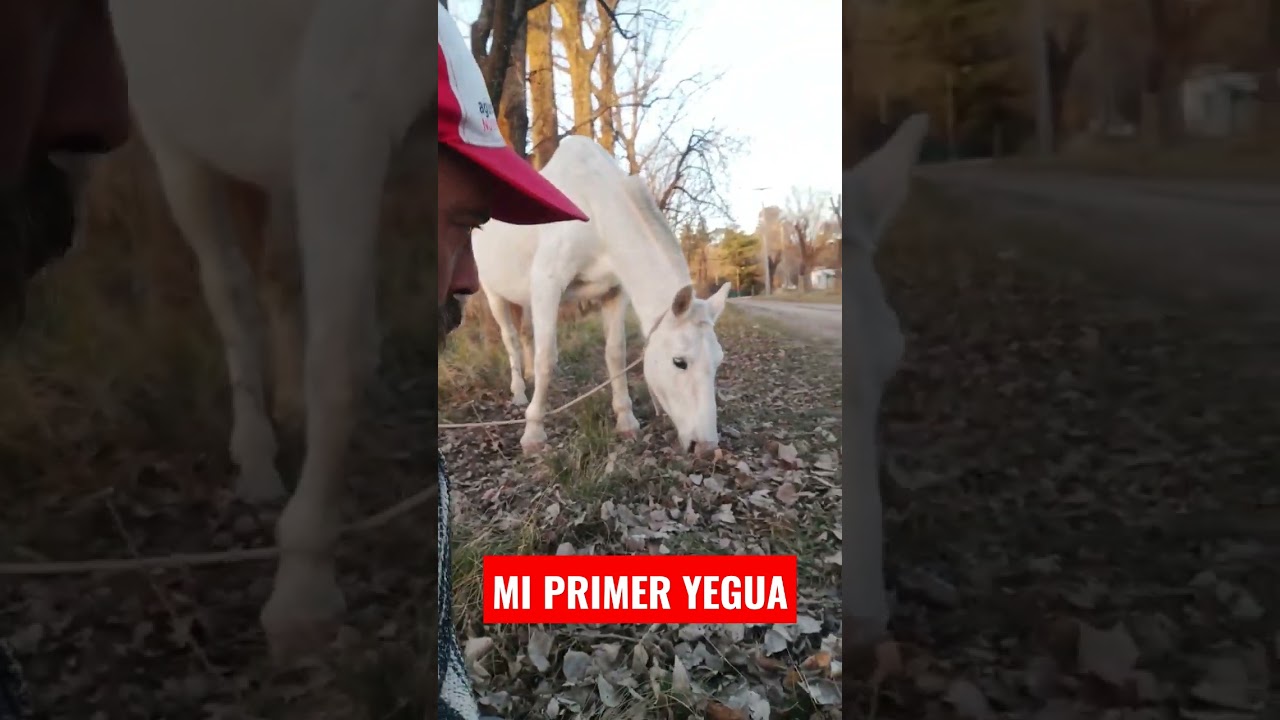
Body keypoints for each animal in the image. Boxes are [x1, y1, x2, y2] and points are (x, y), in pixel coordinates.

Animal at [105, 0, 434, 658]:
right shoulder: (345, 115)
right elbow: (340, 359)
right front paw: (304, 589)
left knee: (281, 273)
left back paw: (289, 406)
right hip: (178, 140)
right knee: (230, 289)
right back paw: (256, 456)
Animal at [471, 136, 731, 456]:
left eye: (718, 362)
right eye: (679, 362)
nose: (706, 448)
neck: (594, 212)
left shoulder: (614, 292)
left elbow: (615, 353)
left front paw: (626, 421)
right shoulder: (547, 283)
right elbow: (547, 359)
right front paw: (533, 434)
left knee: (526, 334)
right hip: (494, 293)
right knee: (510, 339)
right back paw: (519, 392)